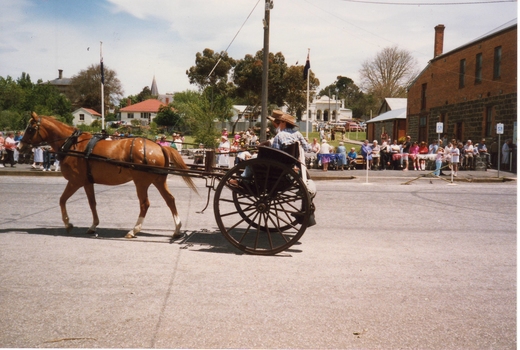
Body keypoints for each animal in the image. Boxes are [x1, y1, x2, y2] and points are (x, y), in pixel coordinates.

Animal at [18, 113, 197, 239]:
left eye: (30, 129)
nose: (20, 147)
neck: (72, 144)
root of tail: (160, 146)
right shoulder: (87, 182)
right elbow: (92, 203)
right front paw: (93, 226)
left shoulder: (75, 181)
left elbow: (62, 200)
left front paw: (68, 224)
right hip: (158, 180)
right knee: (170, 200)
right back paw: (177, 229)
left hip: (141, 182)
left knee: (145, 204)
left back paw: (134, 230)